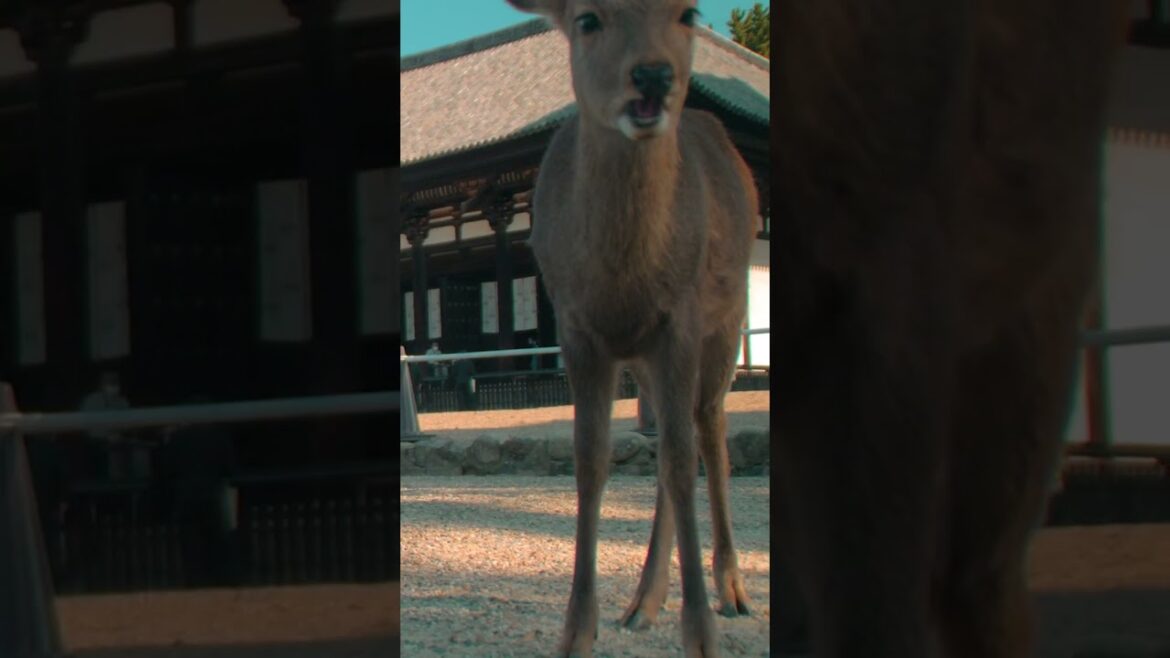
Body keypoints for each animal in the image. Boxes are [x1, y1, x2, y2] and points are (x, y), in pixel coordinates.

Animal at [503, 0, 757, 656]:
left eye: (689, 12)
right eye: (588, 19)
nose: (653, 75)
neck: (622, 282)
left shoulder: (680, 319)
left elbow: (680, 459)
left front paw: (702, 635)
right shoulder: (578, 328)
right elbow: (591, 461)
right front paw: (577, 631)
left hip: (727, 319)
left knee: (707, 431)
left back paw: (732, 590)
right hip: (646, 360)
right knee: (673, 438)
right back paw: (643, 601)